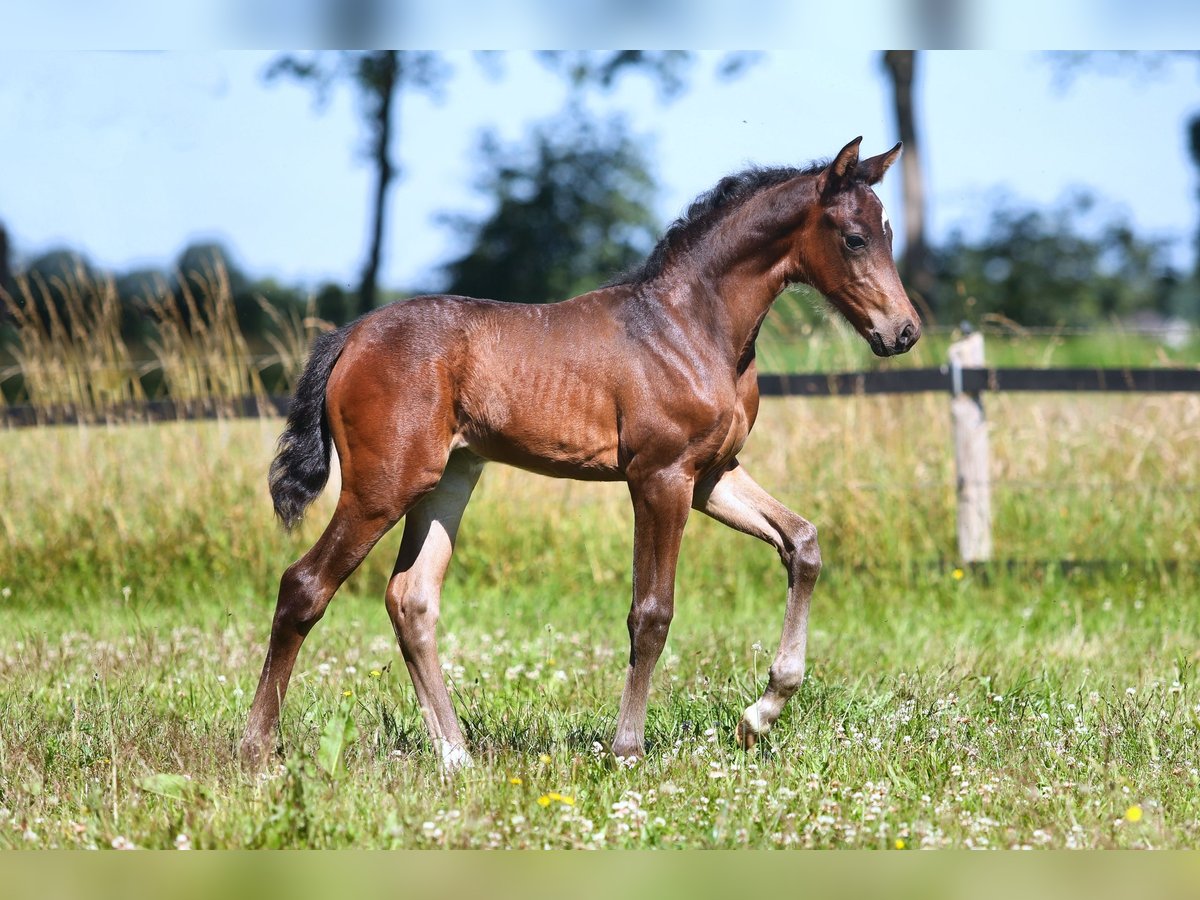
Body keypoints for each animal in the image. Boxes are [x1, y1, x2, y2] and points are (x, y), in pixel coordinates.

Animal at [241, 137, 916, 772]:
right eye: (855, 239)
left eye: (888, 233)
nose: (904, 331)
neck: (690, 327)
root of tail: (351, 335)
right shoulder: (660, 477)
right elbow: (652, 612)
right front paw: (627, 749)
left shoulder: (711, 477)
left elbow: (802, 543)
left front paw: (761, 714)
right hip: (384, 485)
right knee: (304, 585)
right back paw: (257, 749)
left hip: (447, 481)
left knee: (411, 599)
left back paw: (457, 757)